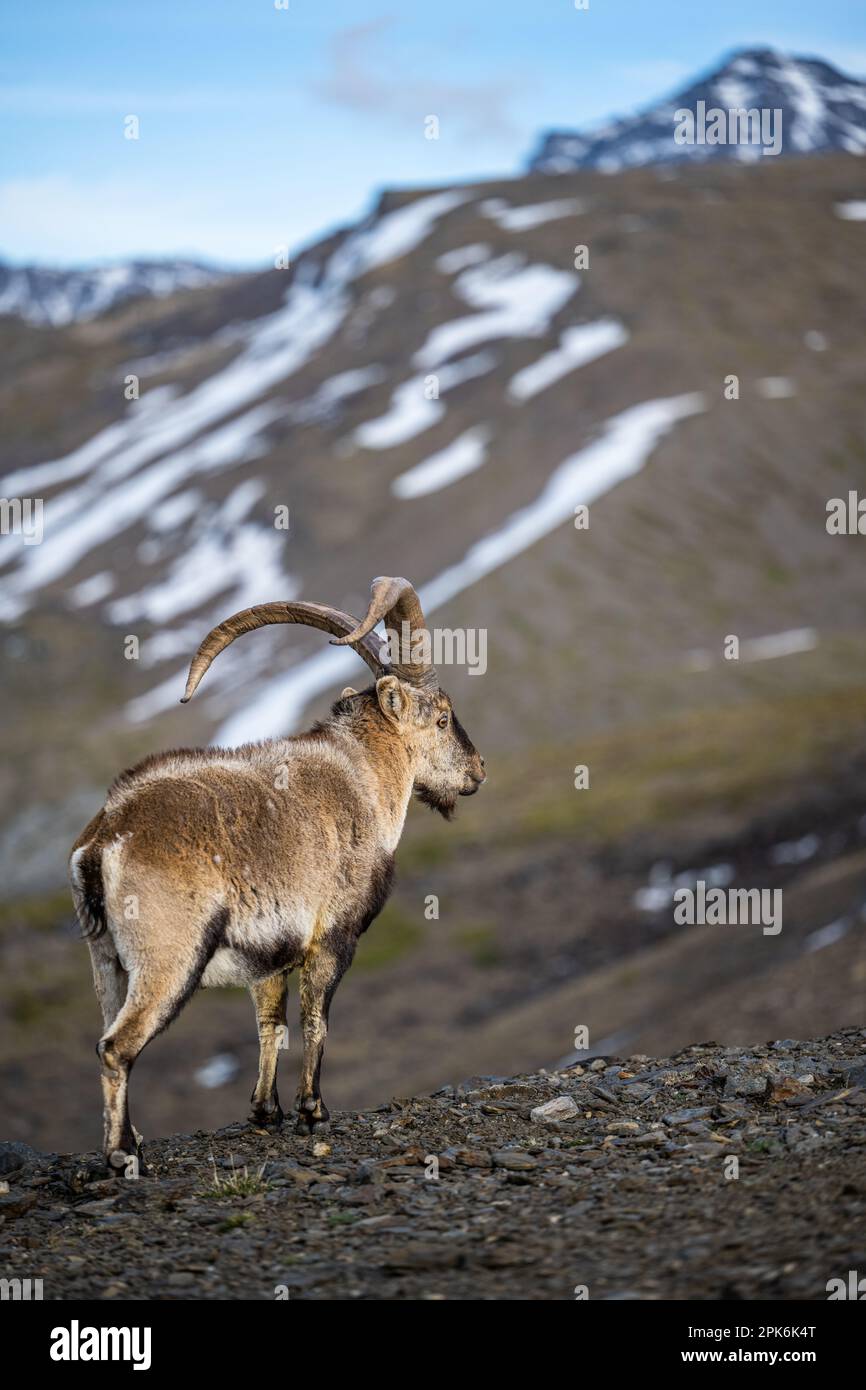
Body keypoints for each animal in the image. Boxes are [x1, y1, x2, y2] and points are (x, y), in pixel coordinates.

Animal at [69, 577, 485, 1169]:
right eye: (444, 718)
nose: (478, 770)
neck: (363, 777)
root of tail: (105, 836)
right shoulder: (333, 935)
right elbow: (315, 1018)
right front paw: (313, 1109)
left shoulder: (266, 952)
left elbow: (272, 1023)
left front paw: (266, 1112)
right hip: (168, 955)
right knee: (116, 1046)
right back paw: (122, 1156)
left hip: (106, 961)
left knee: (106, 1031)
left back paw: (133, 1138)